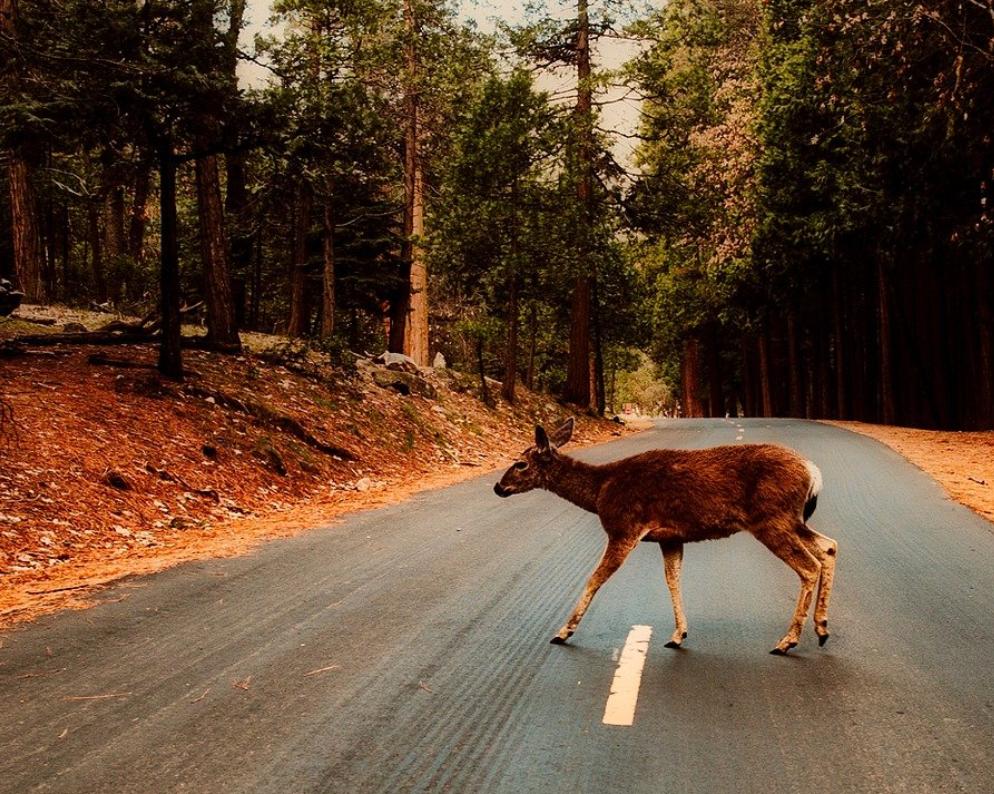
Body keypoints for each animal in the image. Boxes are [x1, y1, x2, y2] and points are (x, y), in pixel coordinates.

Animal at [492, 418, 832, 652]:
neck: (601, 490)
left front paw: (563, 632)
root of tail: (813, 472)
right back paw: (822, 629)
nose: (498, 487)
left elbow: (595, 578)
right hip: (791, 520)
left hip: (771, 519)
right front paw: (678, 635)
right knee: (829, 547)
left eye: (520, 464)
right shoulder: (670, 537)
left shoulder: (625, 528)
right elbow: (672, 579)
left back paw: (788, 641)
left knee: (809, 566)